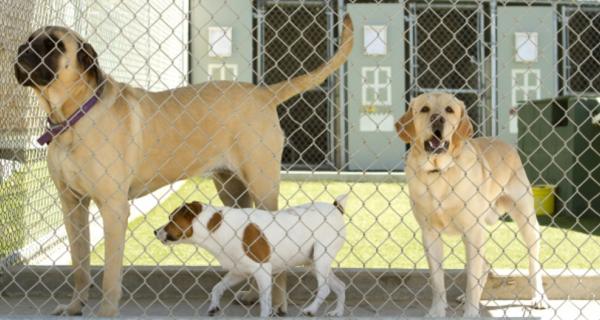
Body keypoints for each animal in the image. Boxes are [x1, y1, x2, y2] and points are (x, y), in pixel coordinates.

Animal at [14, 16, 354, 316]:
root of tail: (264, 92)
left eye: (53, 45)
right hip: (232, 188)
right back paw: (250, 291)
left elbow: (110, 272)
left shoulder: (114, 208)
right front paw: (75, 307)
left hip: (262, 184)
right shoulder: (72, 206)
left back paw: (279, 303)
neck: (72, 118)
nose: (20, 50)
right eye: (30, 39)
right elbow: (80, 265)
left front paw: (107, 311)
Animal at [394, 93, 548, 318]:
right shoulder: (430, 234)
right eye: (424, 109)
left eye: (449, 110)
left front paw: (471, 313)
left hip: (526, 220)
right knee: (484, 265)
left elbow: (472, 281)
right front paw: (437, 311)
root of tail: (502, 141)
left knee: (533, 261)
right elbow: (437, 281)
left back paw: (539, 297)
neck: (439, 173)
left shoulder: (473, 231)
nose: (437, 119)